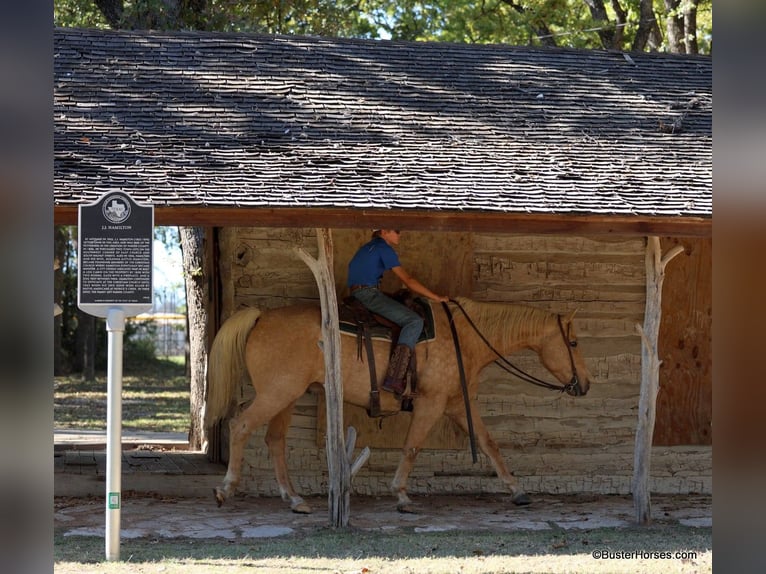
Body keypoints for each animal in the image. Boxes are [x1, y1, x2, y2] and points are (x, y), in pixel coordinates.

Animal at [205, 296, 593, 513]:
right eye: (573, 343)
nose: (585, 384)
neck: (464, 339)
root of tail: (261, 316)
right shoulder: (431, 403)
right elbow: (413, 446)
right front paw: (402, 496)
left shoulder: (457, 404)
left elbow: (489, 443)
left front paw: (518, 490)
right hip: (277, 393)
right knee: (240, 427)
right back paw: (225, 490)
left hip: (286, 396)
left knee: (275, 441)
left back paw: (295, 500)